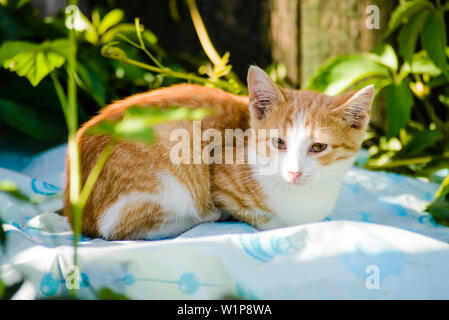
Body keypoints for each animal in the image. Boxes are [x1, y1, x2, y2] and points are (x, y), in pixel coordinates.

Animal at [62, 65, 372, 240]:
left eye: (318, 147)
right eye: (279, 143)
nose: (294, 172)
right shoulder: (221, 173)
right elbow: (268, 219)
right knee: (118, 230)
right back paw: (201, 218)